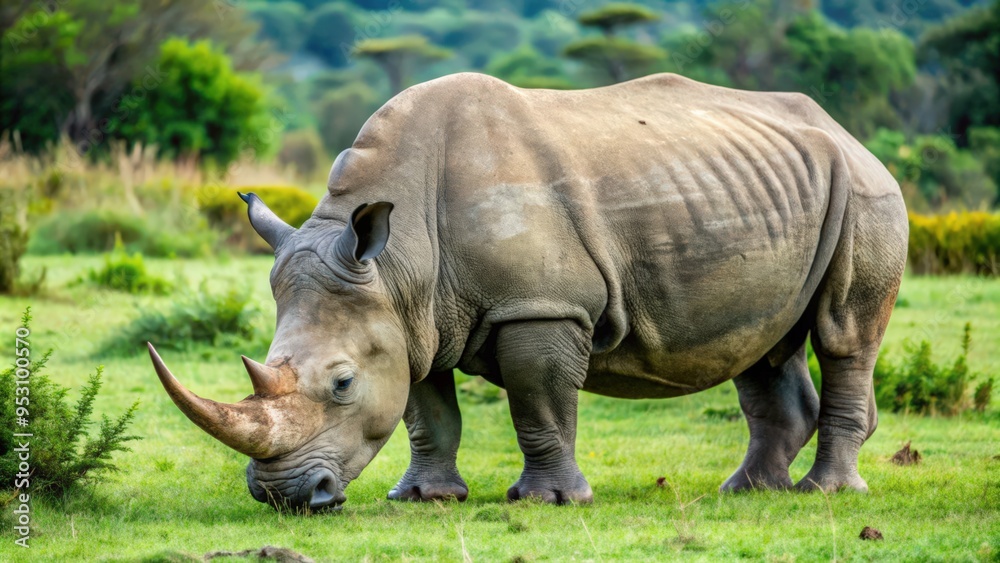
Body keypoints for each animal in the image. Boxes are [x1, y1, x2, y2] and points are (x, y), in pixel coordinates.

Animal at [148, 72, 907, 511]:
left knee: (843, 333)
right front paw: (426, 498)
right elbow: (427, 411)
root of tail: (848, 132)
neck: (400, 258)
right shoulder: (411, 316)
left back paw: (824, 494)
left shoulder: (539, 307)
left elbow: (539, 402)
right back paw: (748, 492)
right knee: (761, 344)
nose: (283, 498)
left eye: (340, 384)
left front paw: (549, 502)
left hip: (865, 191)